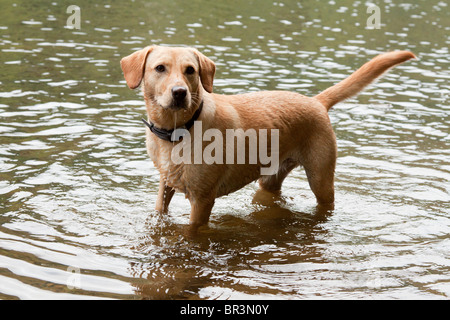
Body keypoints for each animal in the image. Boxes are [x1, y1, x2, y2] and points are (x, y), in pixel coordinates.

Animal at [119, 45, 414, 230]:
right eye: (160, 68)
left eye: (190, 70)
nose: (179, 92)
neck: (178, 132)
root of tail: (316, 101)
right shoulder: (165, 183)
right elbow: (160, 210)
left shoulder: (202, 201)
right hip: (269, 180)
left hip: (320, 178)